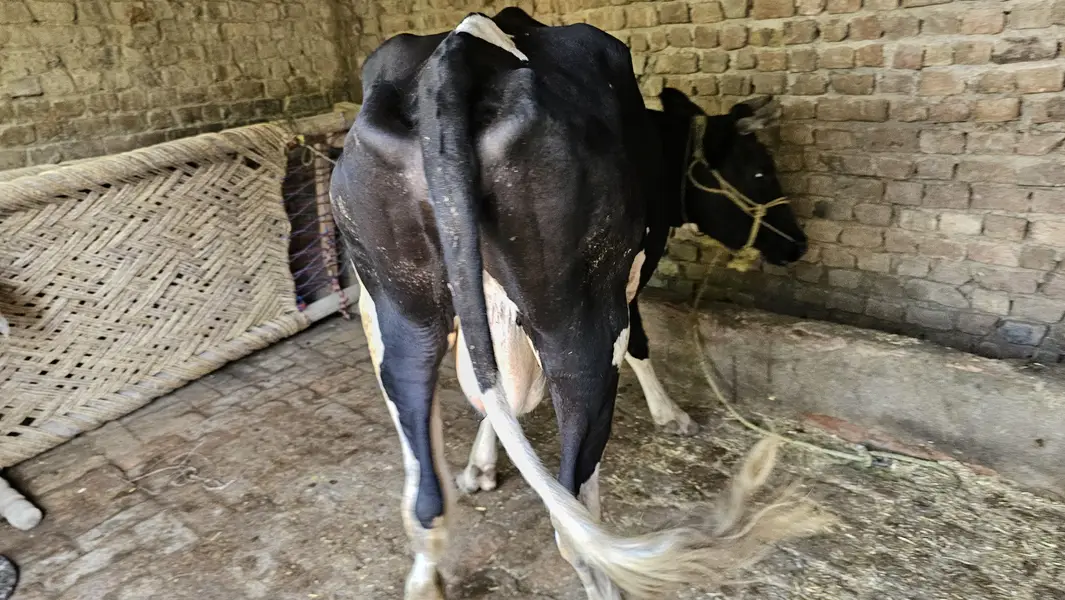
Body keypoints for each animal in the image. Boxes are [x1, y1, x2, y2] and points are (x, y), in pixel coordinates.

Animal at [330, 9, 814, 600]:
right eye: (762, 170)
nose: (799, 243)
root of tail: (460, 51)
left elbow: (497, 391)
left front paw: (481, 465)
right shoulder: (631, 280)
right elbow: (641, 344)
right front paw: (671, 414)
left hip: (400, 317)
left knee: (426, 493)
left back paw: (426, 573)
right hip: (581, 327)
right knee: (574, 520)